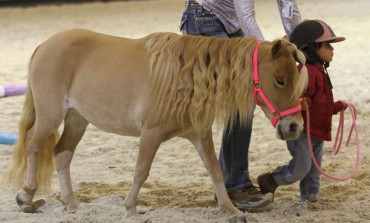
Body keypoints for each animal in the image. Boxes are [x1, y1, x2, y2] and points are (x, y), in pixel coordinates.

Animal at [5, 28, 306, 220]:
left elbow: (214, 170)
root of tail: (44, 45)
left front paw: (230, 211)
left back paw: (70, 204)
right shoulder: (151, 133)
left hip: (77, 120)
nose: (294, 127)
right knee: (32, 144)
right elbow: (141, 172)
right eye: (280, 80)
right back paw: (26, 196)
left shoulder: (199, 134)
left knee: (62, 153)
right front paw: (130, 209)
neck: (186, 77)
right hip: (50, 116)